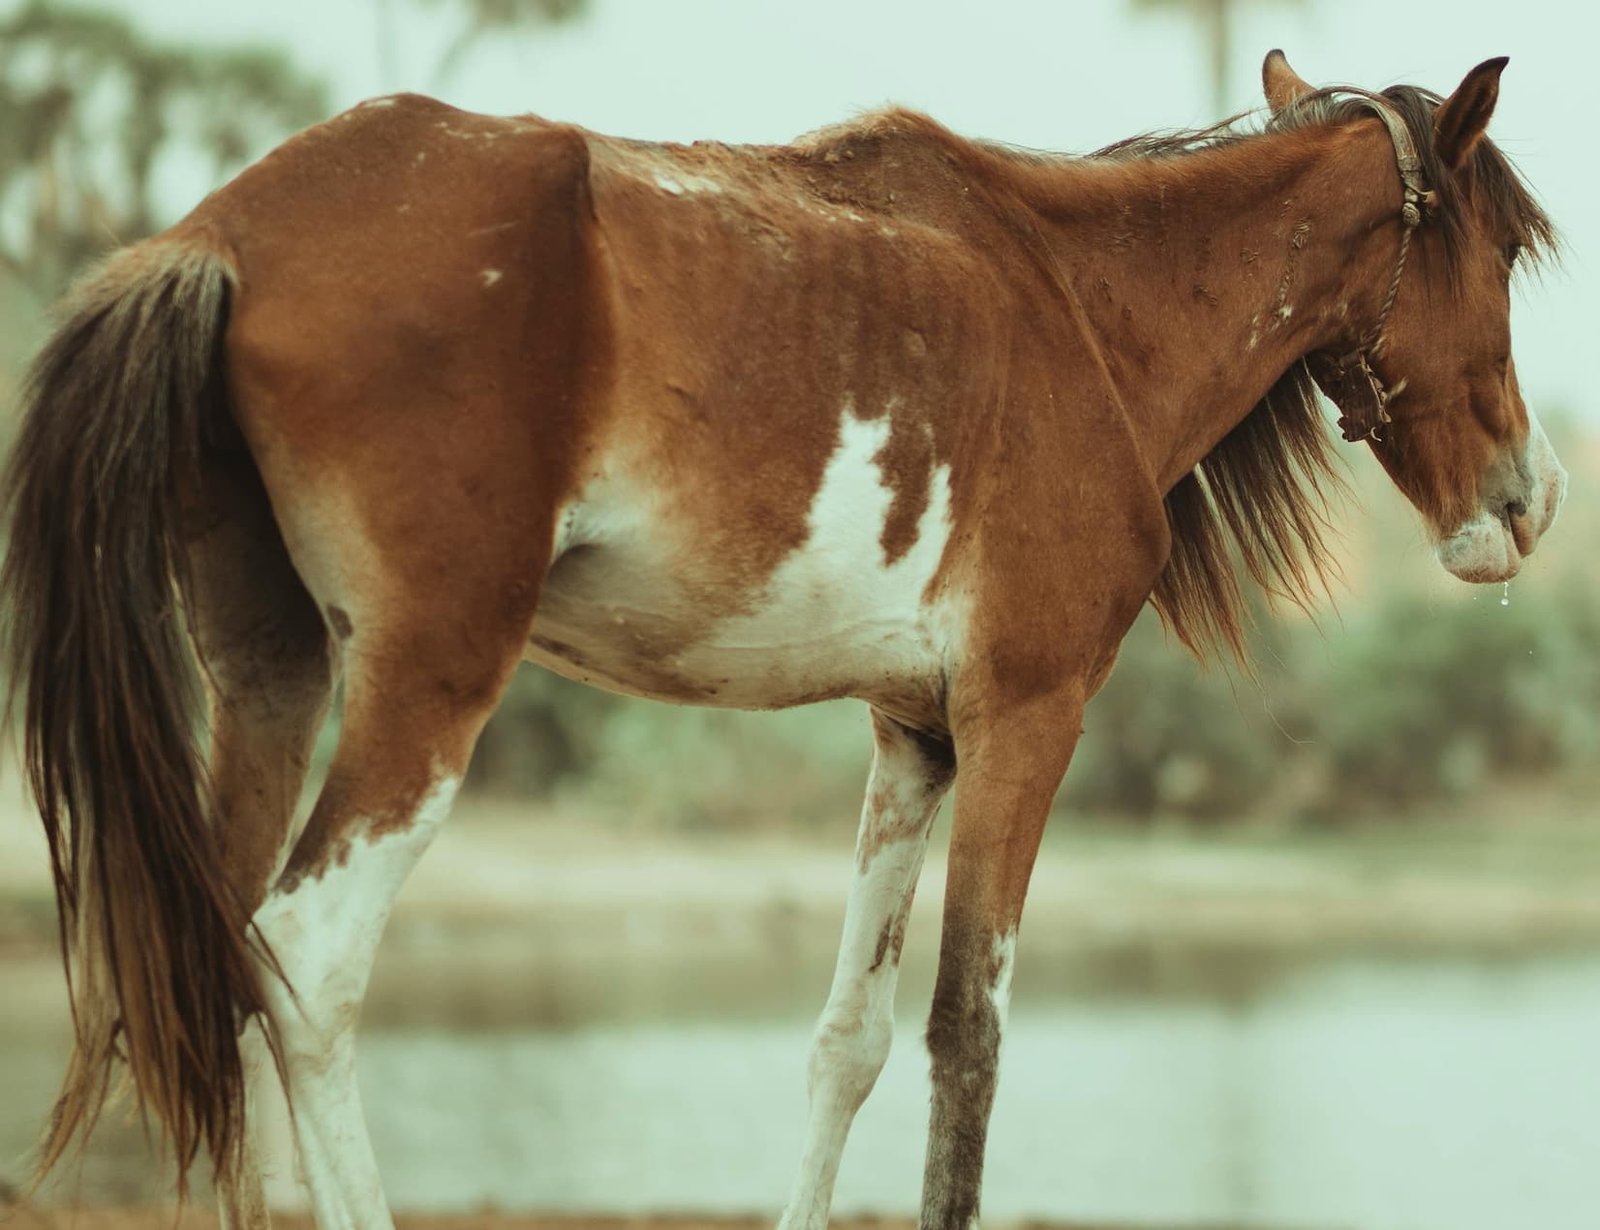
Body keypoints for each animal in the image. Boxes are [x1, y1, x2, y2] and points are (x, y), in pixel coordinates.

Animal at [0, 48, 1563, 1230]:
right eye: (1499, 250)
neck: (1080, 305)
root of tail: (223, 234)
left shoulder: (915, 734)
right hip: (423, 683)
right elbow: (967, 1037)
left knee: (216, 967)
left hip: (266, 677)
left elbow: (848, 1043)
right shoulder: (1026, 715)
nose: (1529, 497)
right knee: (307, 964)